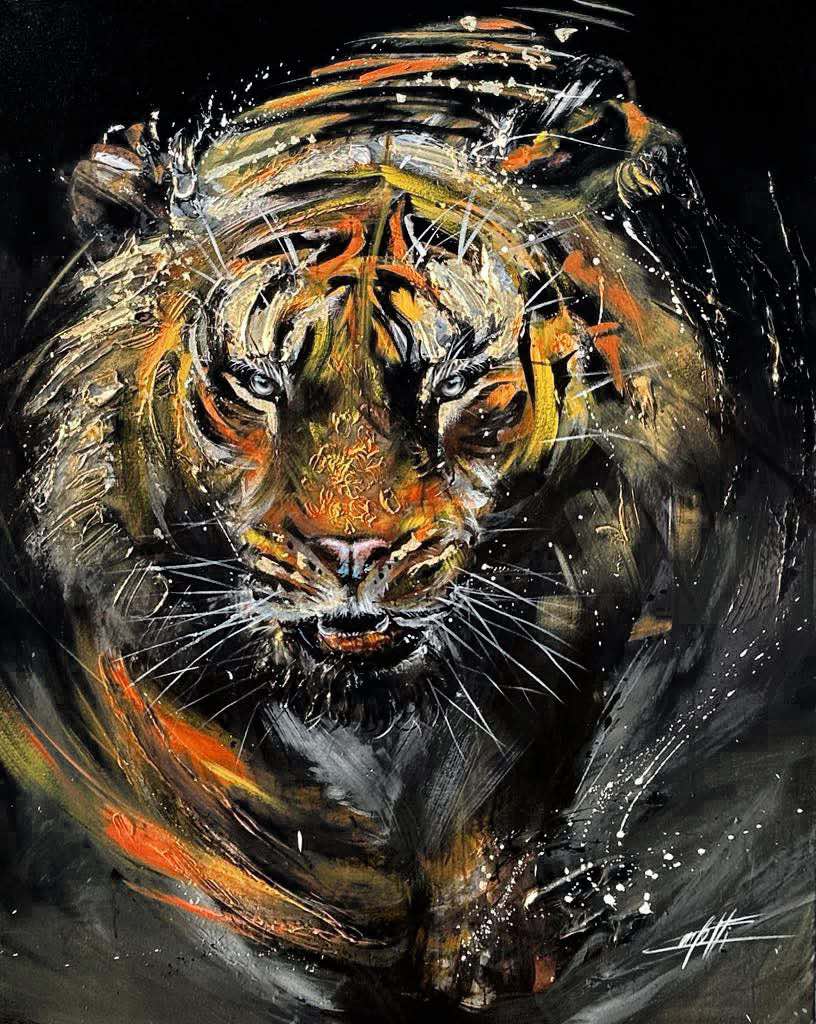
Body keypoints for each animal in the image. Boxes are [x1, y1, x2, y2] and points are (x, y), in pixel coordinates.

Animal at [0, 12, 812, 1024]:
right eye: (254, 385)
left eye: (455, 382)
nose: (353, 552)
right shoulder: (133, 620)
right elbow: (225, 782)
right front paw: (341, 908)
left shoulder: (582, 598)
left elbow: (501, 793)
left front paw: (484, 954)